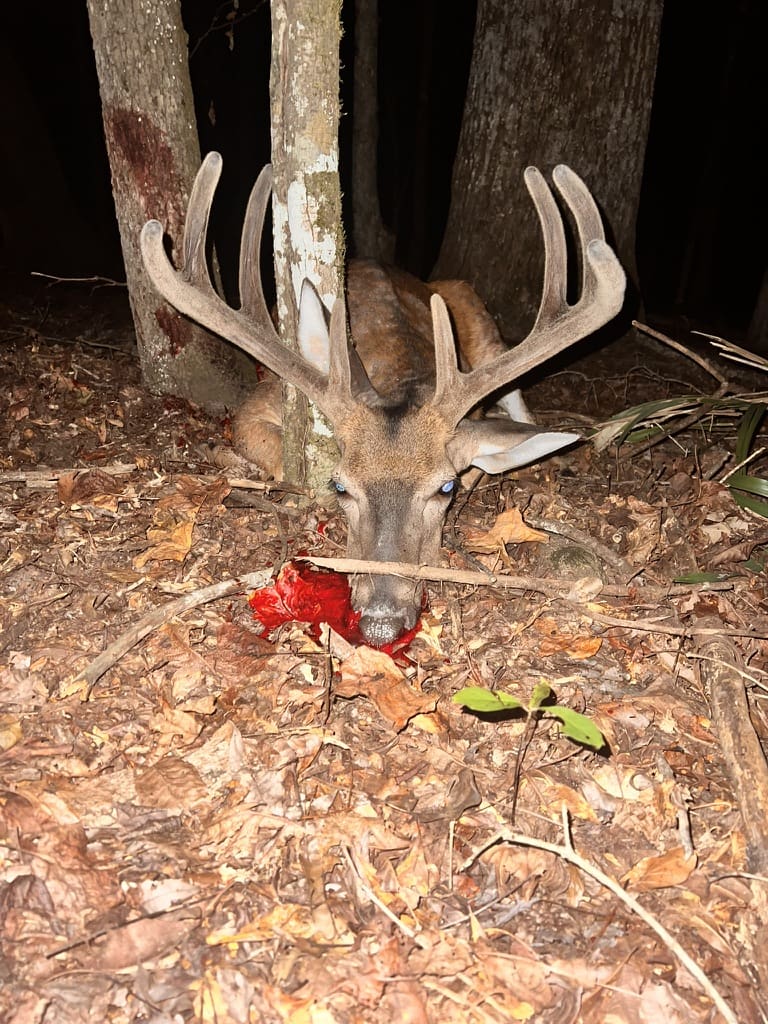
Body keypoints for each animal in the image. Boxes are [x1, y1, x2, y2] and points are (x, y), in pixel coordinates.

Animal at [141, 153, 625, 647]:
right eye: (340, 486)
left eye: (445, 487)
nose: (380, 621)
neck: (402, 370)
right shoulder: (262, 400)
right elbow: (260, 446)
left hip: (481, 324)